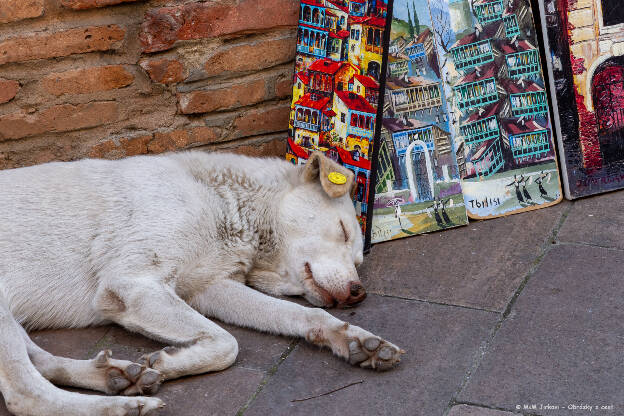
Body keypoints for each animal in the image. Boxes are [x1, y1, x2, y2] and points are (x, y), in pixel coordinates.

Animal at [0, 151, 404, 414]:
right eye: (343, 230)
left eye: (358, 261)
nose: (358, 294)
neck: (223, 204)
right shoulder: (134, 284)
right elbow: (228, 344)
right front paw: (168, 362)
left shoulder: (210, 287)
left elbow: (304, 316)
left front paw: (357, 340)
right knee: (25, 395)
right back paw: (124, 405)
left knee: (43, 364)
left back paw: (118, 376)